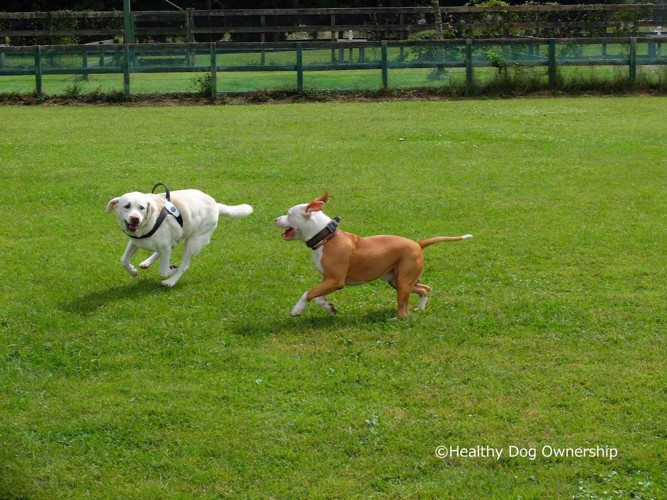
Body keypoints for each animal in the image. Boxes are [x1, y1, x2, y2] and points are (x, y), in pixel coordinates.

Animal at [107, 186, 253, 288]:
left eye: (141, 208)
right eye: (127, 206)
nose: (135, 218)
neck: (148, 223)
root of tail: (216, 205)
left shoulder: (164, 248)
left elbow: (163, 271)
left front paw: (171, 270)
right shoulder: (135, 242)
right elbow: (123, 260)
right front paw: (133, 271)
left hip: (194, 242)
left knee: (184, 265)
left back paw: (171, 281)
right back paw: (147, 262)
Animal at [274, 193, 472, 318]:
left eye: (289, 213)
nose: (275, 219)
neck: (326, 237)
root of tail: (418, 243)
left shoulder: (335, 280)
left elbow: (308, 293)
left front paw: (297, 310)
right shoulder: (328, 280)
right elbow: (318, 296)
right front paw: (329, 308)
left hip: (402, 281)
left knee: (404, 312)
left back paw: (396, 318)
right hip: (397, 280)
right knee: (425, 288)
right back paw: (421, 308)